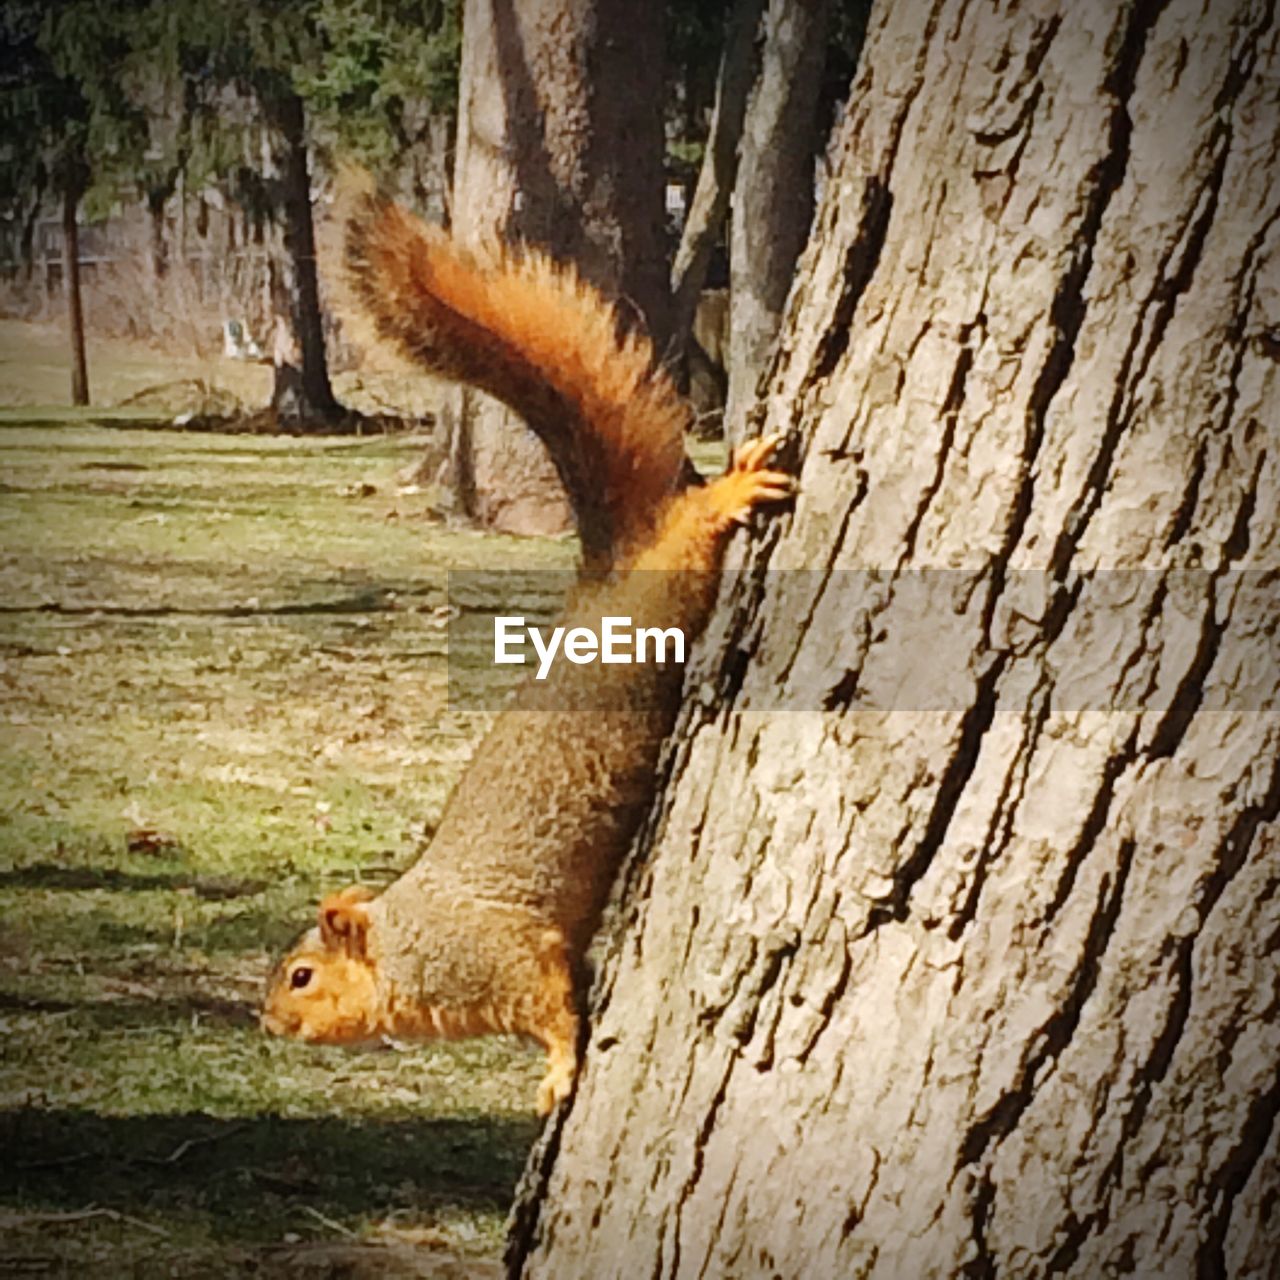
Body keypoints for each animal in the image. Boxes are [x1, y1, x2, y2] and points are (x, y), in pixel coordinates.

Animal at [261, 186, 793, 1111]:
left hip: (669, 590)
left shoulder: (507, 957)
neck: (406, 947)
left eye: (301, 975)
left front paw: (559, 1073)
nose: (264, 1019)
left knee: (694, 533)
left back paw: (732, 490)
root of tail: (610, 567)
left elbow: (556, 1008)